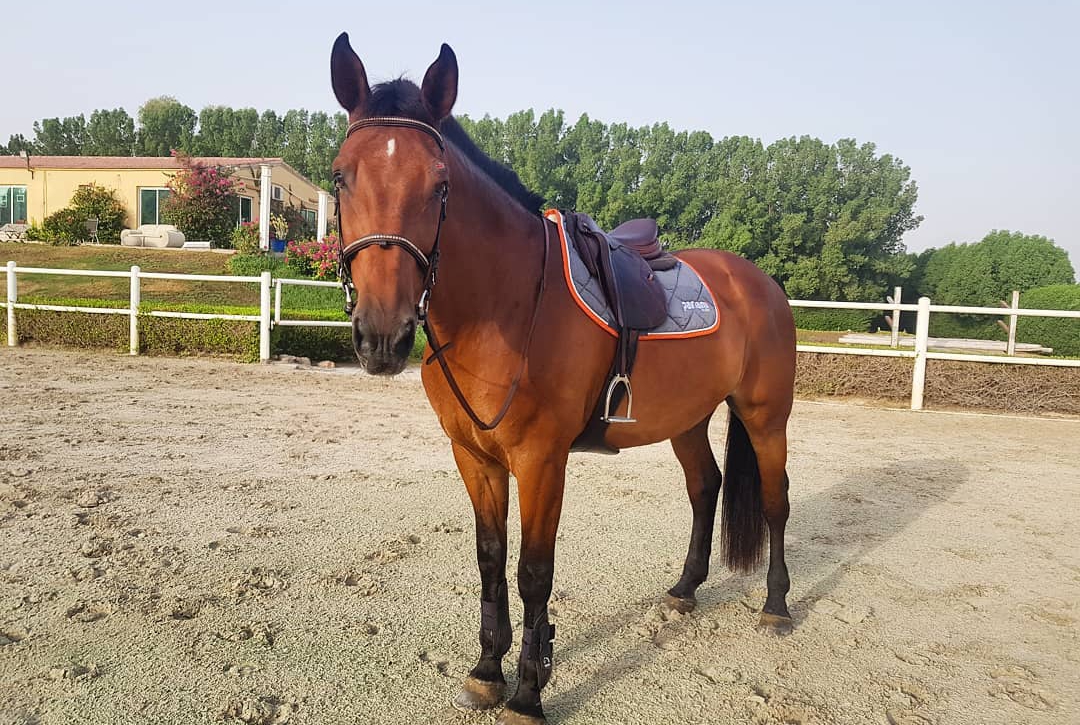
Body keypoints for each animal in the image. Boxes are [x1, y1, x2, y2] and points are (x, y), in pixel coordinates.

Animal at [329, 33, 797, 725]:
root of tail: (757, 280)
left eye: (440, 185)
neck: (506, 301)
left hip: (766, 416)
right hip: (686, 418)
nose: (382, 335)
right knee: (704, 487)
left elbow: (533, 573)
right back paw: (685, 588)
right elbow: (490, 560)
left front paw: (528, 692)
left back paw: (777, 606)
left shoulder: (541, 460)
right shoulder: (475, 456)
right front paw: (487, 672)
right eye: (341, 175)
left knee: (774, 500)